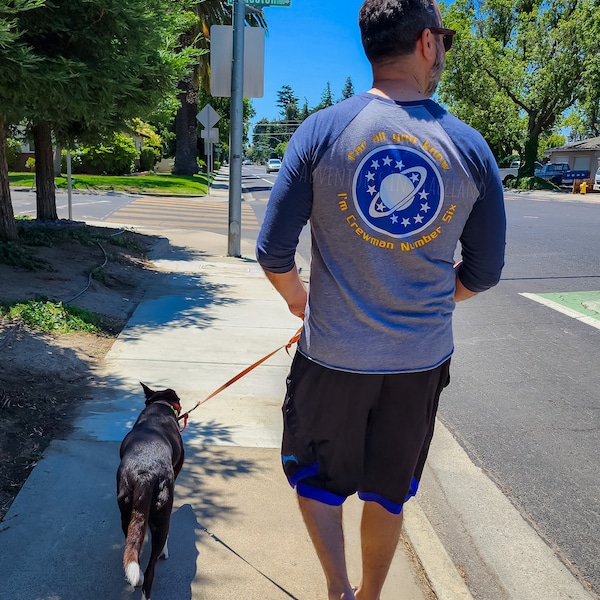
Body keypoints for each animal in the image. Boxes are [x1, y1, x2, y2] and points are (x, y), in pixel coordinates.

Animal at [116, 384, 184, 600]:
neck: (159, 406)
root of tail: (145, 474)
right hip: (162, 516)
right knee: (150, 572)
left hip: (126, 512)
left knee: (133, 550)